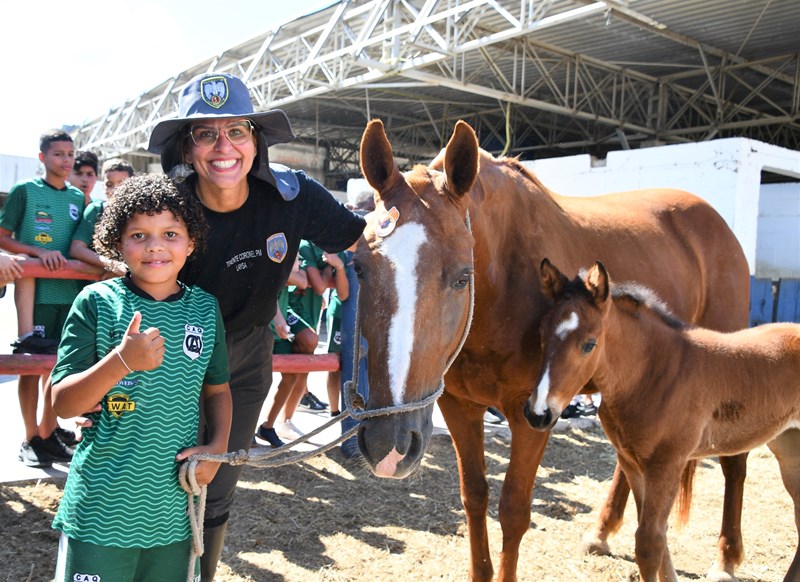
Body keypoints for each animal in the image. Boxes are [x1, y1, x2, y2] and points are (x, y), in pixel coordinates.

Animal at [354, 120, 752, 582]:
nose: (389, 444)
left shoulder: (533, 415)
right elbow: (474, 497)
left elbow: (513, 510)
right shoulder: (458, 407)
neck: (506, 281)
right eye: (358, 266)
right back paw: (602, 531)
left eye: (461, 277)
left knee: (735, 461)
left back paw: (726, 556)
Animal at [524, 260, 800, 582]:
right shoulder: (633, 463)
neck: (655, 372)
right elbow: (659, 540)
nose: (538, 413)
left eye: (589, 344)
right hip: (788, 447)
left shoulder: (667, 463)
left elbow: (648, 544)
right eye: (541, 334)